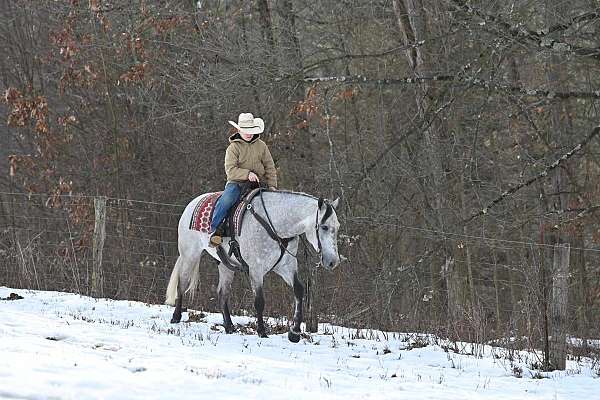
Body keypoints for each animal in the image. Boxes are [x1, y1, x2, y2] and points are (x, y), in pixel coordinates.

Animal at [166, 189, 340, 342]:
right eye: (324, 227)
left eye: (337, 227)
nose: (333, 261)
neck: (276, 225)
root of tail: (192, 204)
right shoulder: (256, 269)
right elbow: (259, 301)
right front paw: (262, 332)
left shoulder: (287, 267)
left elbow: (299, 290)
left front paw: (295, 333)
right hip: (190, 255)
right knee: (182, 284)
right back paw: (176, 317)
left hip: (225, 265)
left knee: (222, 293)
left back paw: (229, 326)